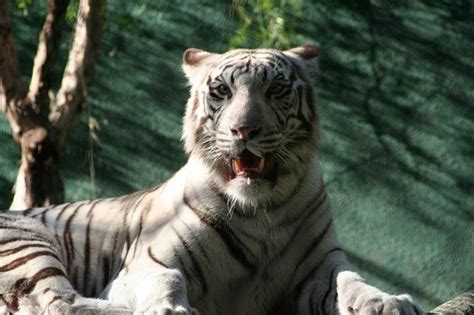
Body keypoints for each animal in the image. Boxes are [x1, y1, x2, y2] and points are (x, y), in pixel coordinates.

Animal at [0, 45, 422, 314]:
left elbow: (351, 280)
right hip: (26, 244)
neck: (261, 210)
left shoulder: (319, 266)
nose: (244, 130)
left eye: (276, 89)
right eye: (222, 91)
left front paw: (388, 302)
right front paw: (170, 309)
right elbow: (166, 279)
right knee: (60, 304)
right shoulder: (144, 264)